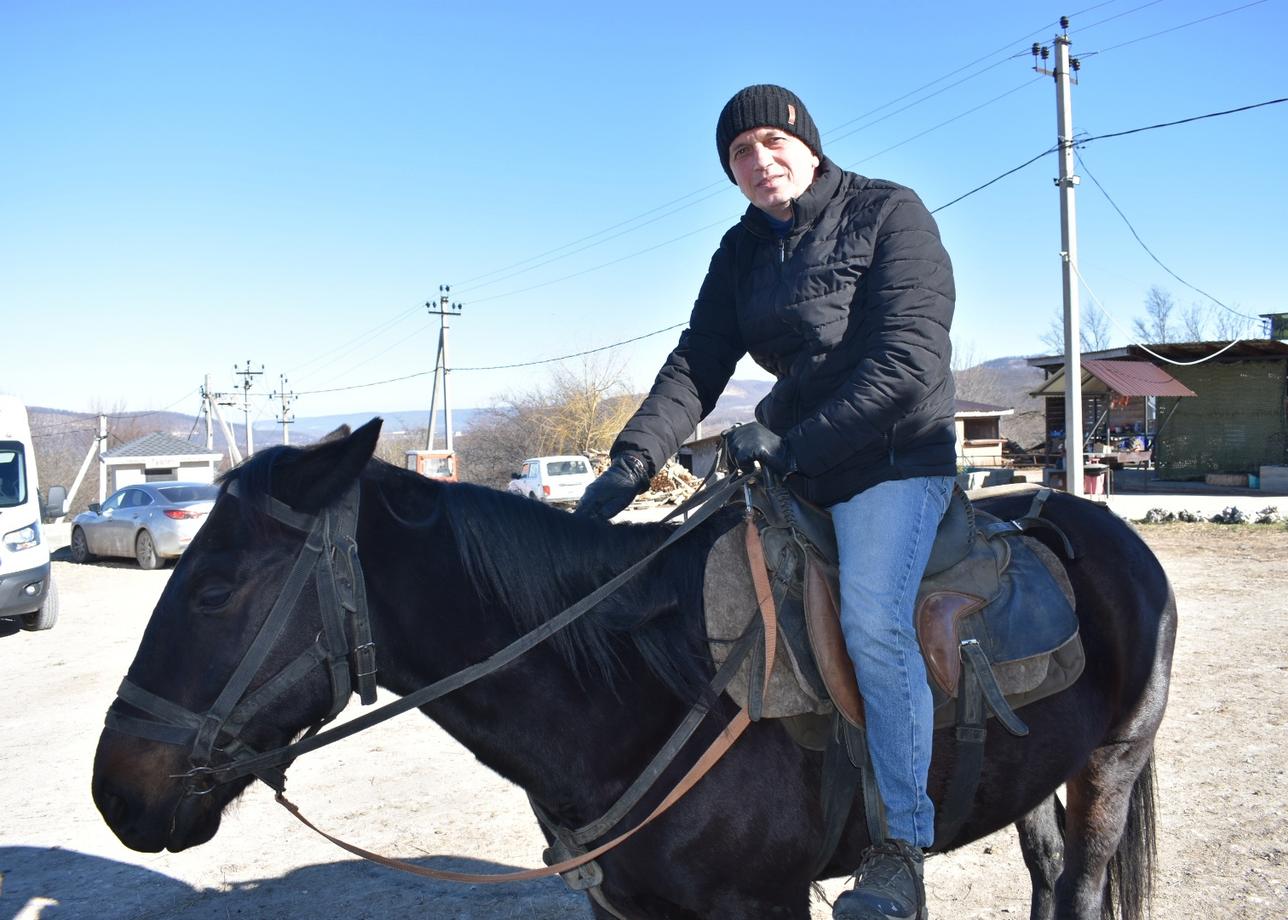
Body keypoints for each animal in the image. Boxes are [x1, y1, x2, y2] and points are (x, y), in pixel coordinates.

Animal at [93, 420, 1179, 917]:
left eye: (215, 588)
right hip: (1029, 775)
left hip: (1112, 767)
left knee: (1081, 885)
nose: (116, 792)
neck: (645, 684)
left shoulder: (766, 904)